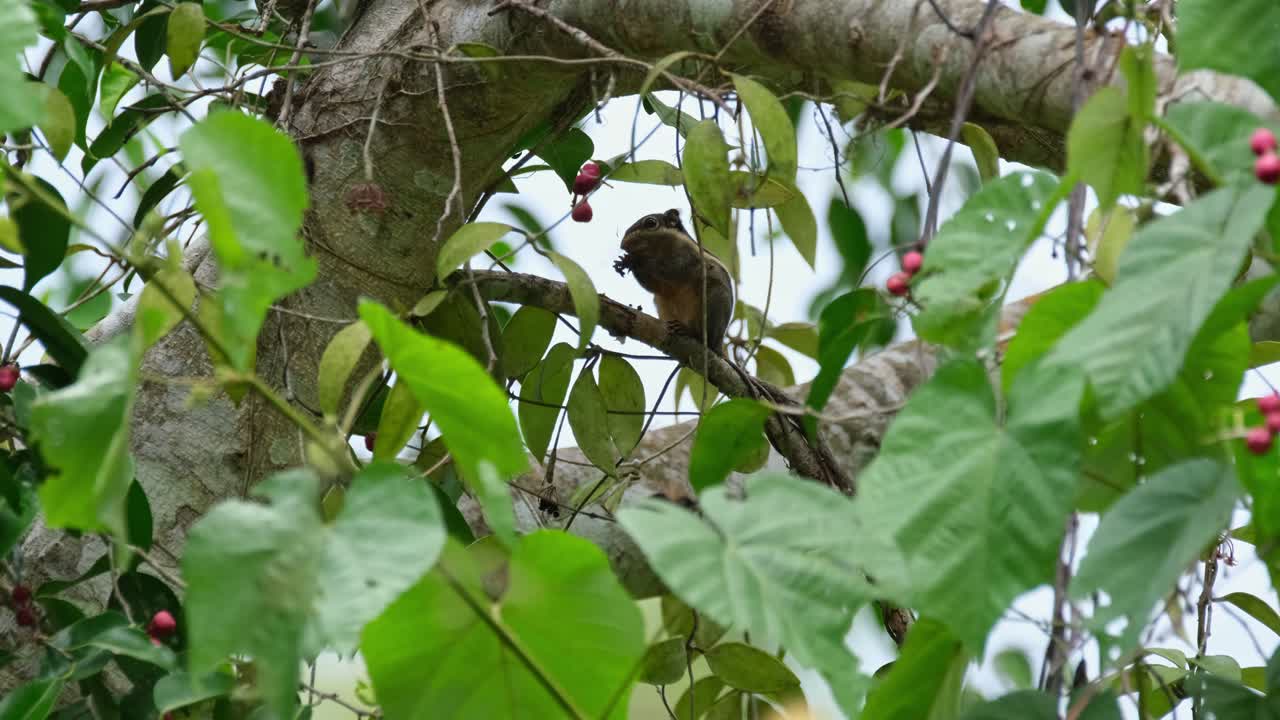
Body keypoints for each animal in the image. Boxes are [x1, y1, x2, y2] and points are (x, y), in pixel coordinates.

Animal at [612, 208, 734, 355]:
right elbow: (656, 286)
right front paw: (626, 260)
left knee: (703, 337)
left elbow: (669, 271)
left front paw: (633, 260)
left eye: (650, 223)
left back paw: (689, 331)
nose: (623, 245)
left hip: (715, 300)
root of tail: (719, 344)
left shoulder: (685, 259)